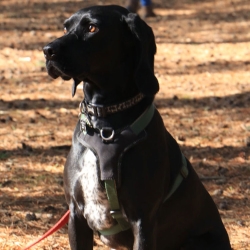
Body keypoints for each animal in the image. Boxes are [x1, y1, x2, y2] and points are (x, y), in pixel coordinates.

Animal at [44, 4, 231, 250]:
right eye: (66, 27)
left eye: (92, 28)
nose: (47, 50)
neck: (105, 125)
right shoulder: (76, 216)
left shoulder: (143, 220)